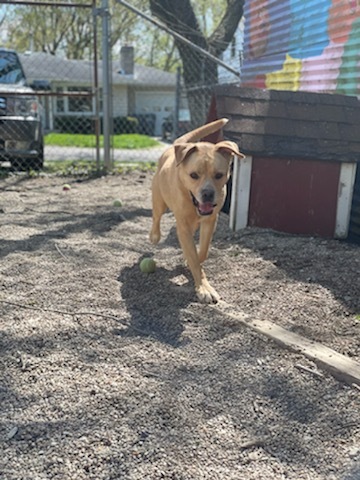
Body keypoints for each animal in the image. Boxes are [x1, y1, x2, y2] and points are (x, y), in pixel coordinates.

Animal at [149, 117, 245, 302]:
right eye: (193, 175)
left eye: (219, 175)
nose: (207, 194)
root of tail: (176, 145)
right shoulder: (183, 227)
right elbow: (194, 257)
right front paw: (204, 288)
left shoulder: (210, 221)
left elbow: (202, 251)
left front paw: (192, 262)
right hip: (159, 200)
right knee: (156, 217)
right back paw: (154, 236)